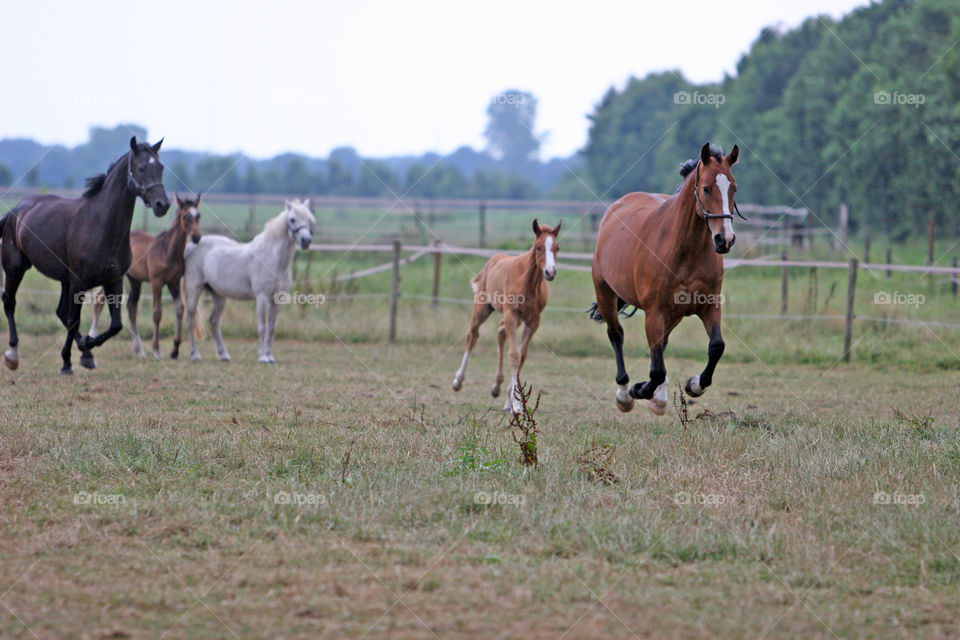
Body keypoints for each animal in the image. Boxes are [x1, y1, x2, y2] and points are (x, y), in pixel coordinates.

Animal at [0, 137, 171, 372]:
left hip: (63, 280)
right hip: (15, 268)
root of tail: (14, 212)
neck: (101, 226)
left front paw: (86, 348)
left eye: (160, 167)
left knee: (60, 312)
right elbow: (75, 320)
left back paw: (85, 352)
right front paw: (67, 361)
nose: (162, 204)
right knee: (10, 301)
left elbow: (115, 325)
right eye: (141, 168)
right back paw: (12, 355)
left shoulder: (113, 281)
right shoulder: (79, 282)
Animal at [91, 190, 202, 360]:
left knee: (131, 308)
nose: (197, 237)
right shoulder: (157, 282)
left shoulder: (174, 282)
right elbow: (157, 313)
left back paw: (139, 350)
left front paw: (175, 349)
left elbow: (179, 309)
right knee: (99, 300)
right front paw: (156, 350)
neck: (168, 251)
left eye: (198, 216)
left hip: (135, 280)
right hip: (116, 277)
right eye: (185, 216)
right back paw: (92, 337)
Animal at [182, 198, 314, 362]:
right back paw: (195, 354)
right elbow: (262, 327)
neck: (273, 259)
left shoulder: (278, 299)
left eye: (309, 219)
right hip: (193, 290)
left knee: (214, 321)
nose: (306, 241)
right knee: (191, 320)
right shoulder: (262, 297)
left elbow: (272, 327)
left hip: (219, 296)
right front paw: (263, 357)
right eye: (292, 219)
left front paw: (270, 356)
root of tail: (191, 246)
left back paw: (224, 354)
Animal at [452, 218, 560, 412]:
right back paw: (458, 381)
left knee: (500, 331)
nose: (550, 272)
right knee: (472, 336)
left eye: (557, 247)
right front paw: (516, 404)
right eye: (538, 247)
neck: (528, 283)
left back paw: (497, 388)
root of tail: (492, 260)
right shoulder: (511, 314)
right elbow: (514, 355)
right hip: (482, 310)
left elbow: (522, 356)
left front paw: (512, 400)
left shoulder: (534, 320)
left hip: (516, 319)